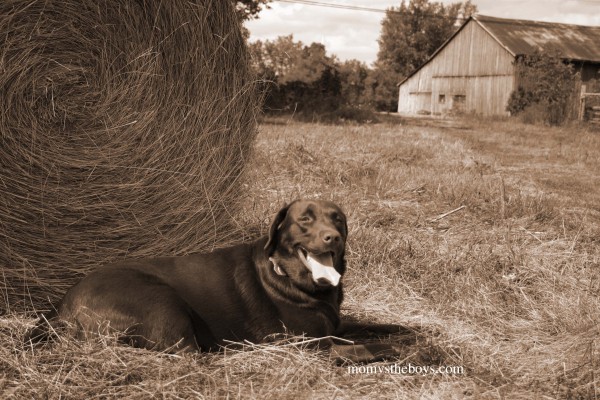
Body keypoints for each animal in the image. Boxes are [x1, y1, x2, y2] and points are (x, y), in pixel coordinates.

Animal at [28, 199, 412, 362]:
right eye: (305, 219)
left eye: (338, 219)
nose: (333, 237)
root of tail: (61, 309)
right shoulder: (311, 345)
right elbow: (373, 346)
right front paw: (414, 351)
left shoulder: (337, 326)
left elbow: (383, 328)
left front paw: (411, 331)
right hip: (162, 301)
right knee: (189, 354)